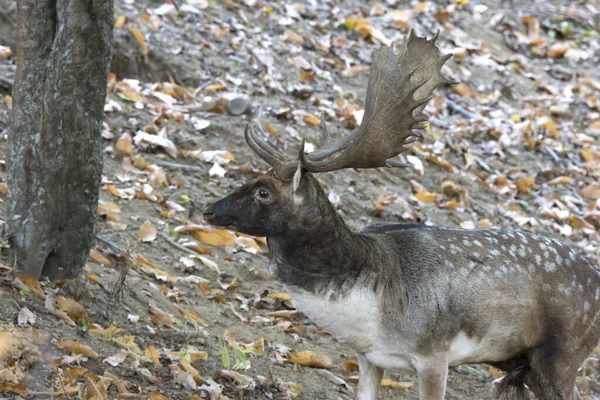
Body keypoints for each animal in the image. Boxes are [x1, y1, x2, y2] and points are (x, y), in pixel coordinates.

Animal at [203, 32, 600, 400]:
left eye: (263, 191)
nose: (209, 210)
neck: (371, 310)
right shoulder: (369, 357)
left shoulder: (433, 352)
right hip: (522, 363)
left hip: (562, 355)